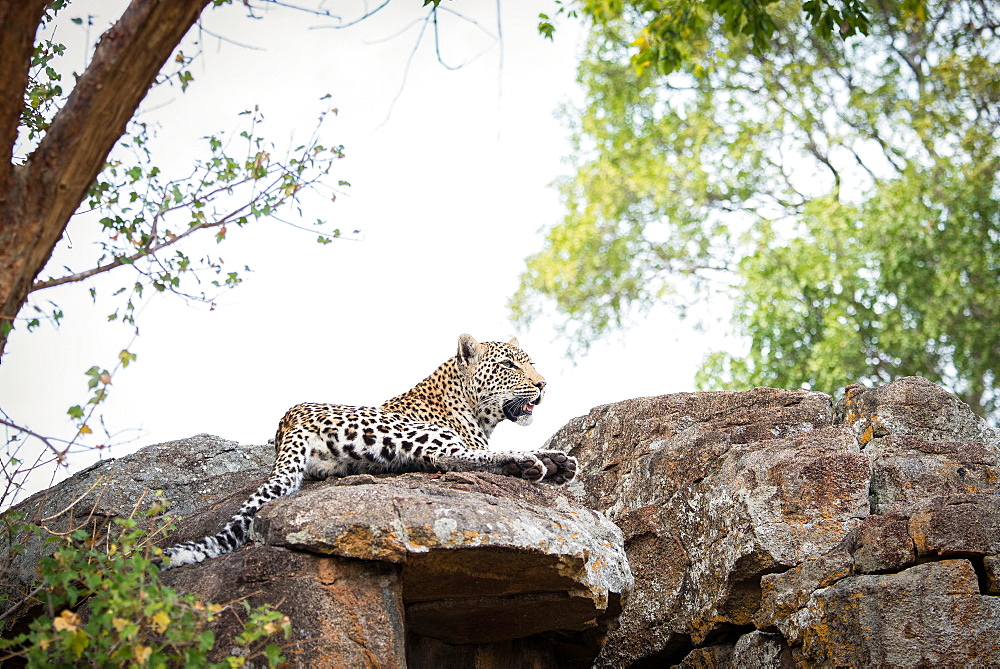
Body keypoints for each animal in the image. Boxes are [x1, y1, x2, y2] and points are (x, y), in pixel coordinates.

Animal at [163, 334, 580, 568]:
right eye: (509, 365)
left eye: (531, 364)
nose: (543, 384)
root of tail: (290, 418)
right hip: (408, 430)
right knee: (448, 456)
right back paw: (532, 462)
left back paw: (553, 462)